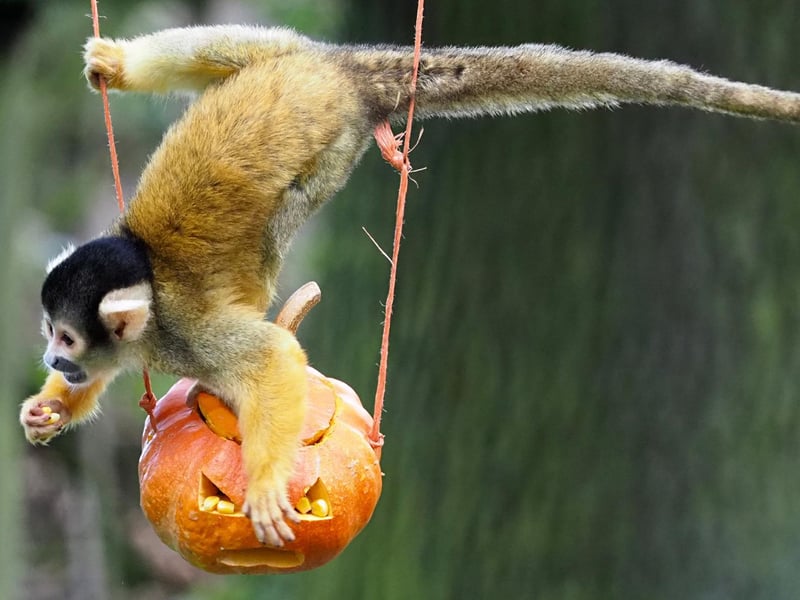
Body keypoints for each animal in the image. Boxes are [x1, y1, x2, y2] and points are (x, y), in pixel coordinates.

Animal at [18, 25, 800, 548]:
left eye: (66, 338)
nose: (54, 361)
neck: (148, 299)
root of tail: (340, 73)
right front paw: (48, 410)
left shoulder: (188, 332)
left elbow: (270, 358)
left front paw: (266, 485)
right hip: (285, 54)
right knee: (231, 49)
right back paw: (122, 65)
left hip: (332, 148)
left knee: (287, 208)